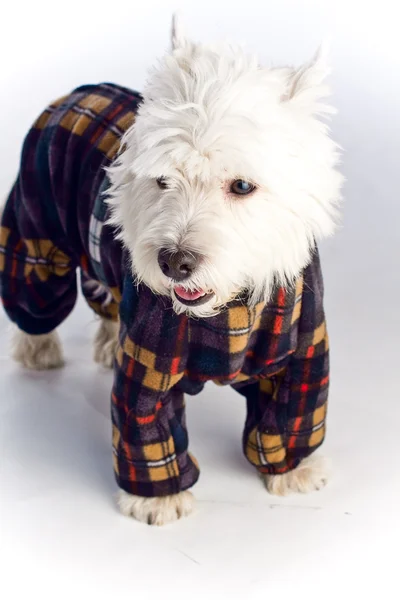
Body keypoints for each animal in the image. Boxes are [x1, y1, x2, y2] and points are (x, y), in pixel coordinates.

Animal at [0, 16, 344, 524]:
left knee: (104, 300)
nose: (174, 262)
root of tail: (73, 93)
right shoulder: (149, 357)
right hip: (35, 230)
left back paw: (106, 344)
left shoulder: (301, 347)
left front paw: (295, 471)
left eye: (242, 186)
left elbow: (292, 411)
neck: (226, 311)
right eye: (162, 179)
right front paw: (157, 501)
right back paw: (38, 351)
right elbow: (145, 424)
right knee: (34, 296)